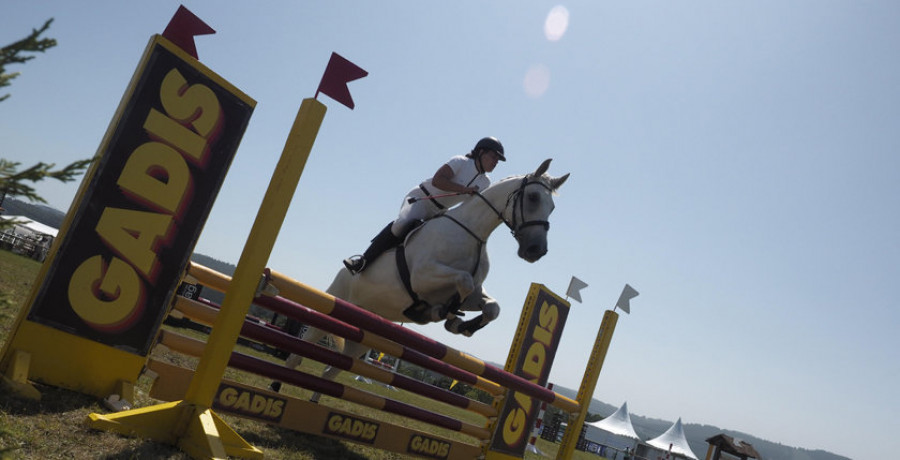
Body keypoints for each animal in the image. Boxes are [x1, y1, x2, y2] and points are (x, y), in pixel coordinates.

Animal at [272, 158, 568, 396]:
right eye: (533, 197)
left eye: (553, 207)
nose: (536, 251)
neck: (473, 233)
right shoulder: (423, 276)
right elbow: (462, 280)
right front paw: (442, 313)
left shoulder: (475, 293)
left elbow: (492, 306)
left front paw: (463, 325)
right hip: (332, 307)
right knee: (299, 353)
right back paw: (276, 386)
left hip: (365, 331)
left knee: (331, 371)